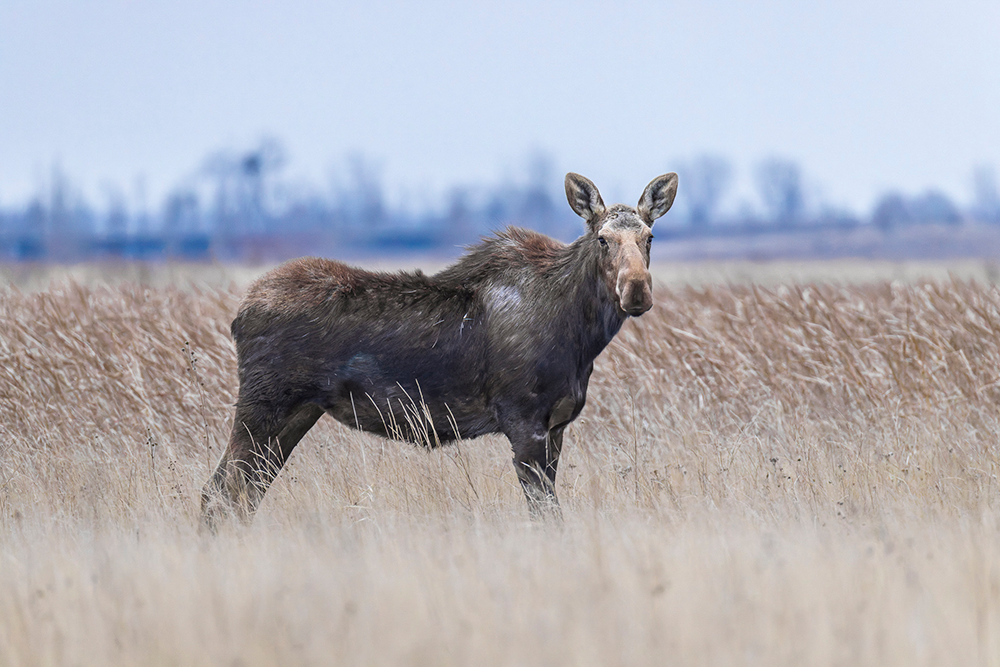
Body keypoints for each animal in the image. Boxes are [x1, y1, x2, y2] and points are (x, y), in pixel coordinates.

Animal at [201, 172, 678, 527]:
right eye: (602, 239)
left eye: (650, 237)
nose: (636, 290)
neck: (582, 336)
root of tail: (239, 315)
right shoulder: (524, 421)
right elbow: (546, 515)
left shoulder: (556, 425)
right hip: (262, 406)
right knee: (218, 492)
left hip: (297, 412)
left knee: (243, 492)